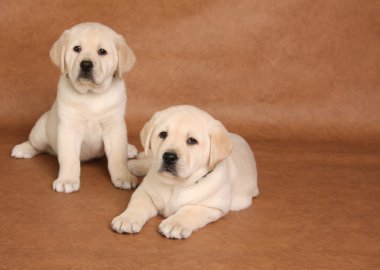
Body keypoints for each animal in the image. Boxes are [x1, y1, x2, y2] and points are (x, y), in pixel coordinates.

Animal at [10, 22, 140, 193]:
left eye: (102, 51)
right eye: (77, 49)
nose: (86, 64)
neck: (91, 94)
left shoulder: (114, 127)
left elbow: (117, 158)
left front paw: (124, 176)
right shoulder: (69, 128)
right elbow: (69, 158)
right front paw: (67, 180)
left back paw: (129, 148)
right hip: (40, 131)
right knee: (36, 145)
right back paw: (23, 149)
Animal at [111, 105, 260, 238]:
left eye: (192, 141)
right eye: (163, 134)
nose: (169, 157)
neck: (176, 185)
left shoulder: (213, 206)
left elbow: (191, 210)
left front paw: (175, 224)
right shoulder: (146, 191)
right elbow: (137, 204)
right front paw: (127, 218)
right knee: (149, 160)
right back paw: (133, 164)